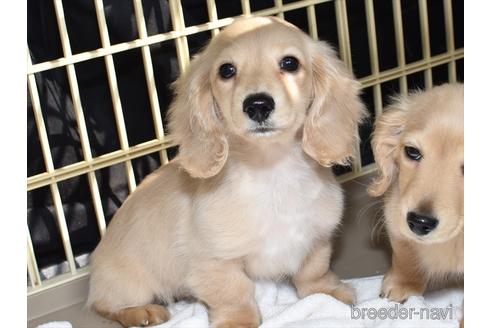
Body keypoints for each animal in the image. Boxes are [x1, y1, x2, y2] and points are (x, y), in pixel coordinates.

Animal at [87, 16, 366, 326]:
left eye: (290, 63)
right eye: (227, 70)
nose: (257, 105)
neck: (272, 172)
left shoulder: (317, 238)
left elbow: (313, 271)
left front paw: (327, 293)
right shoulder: (214, 261)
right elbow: (234, 292)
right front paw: (238, 320)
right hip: (129, 283)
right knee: (105, 305)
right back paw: (141, 312)